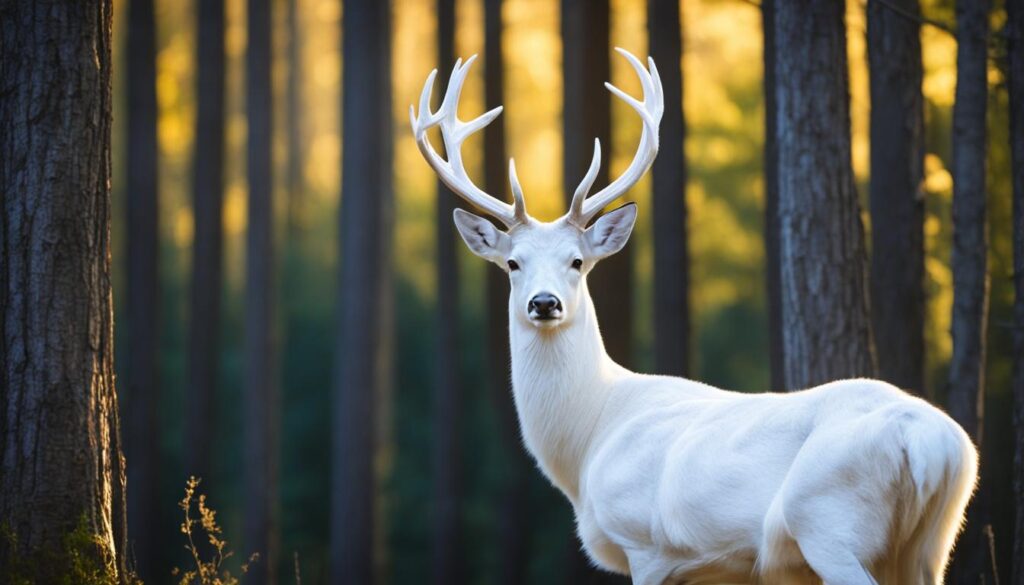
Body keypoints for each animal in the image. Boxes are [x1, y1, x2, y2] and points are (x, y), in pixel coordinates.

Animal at [410, 49, 978, 585]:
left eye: (577, 261)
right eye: (513, 263)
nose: (544, 303)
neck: (590, 436)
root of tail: (928, 445)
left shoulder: (645, 545)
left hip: (830, 522)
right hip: (933, 540)